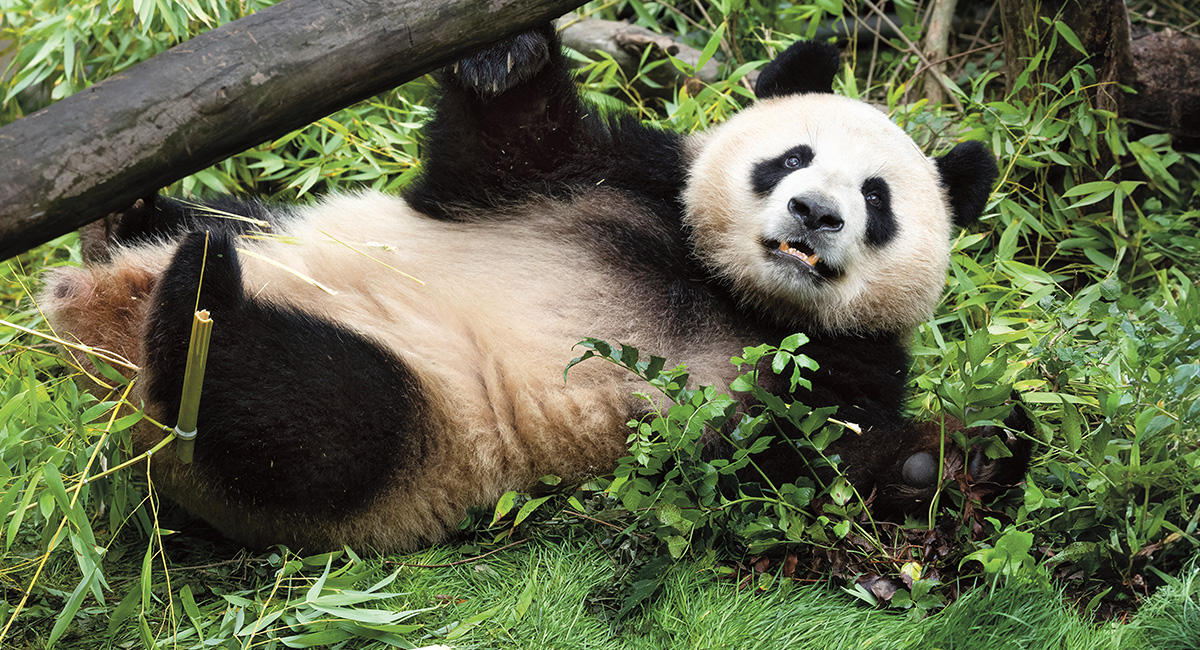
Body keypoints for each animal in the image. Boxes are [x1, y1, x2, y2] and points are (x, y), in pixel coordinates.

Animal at [40, 25, 1029, 552]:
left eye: (878, 199)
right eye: (791, 158)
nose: (817, 213)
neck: (730, 290)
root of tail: (99, 334)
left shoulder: (837, 365)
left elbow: (783, 467)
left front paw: (953, 459)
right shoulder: (614, 177)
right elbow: (501, 152)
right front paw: (508, 56)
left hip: (423, 435)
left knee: (308, 415)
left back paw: (196, 311)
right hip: (275, 230)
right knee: (226, 237)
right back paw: (135, 222)